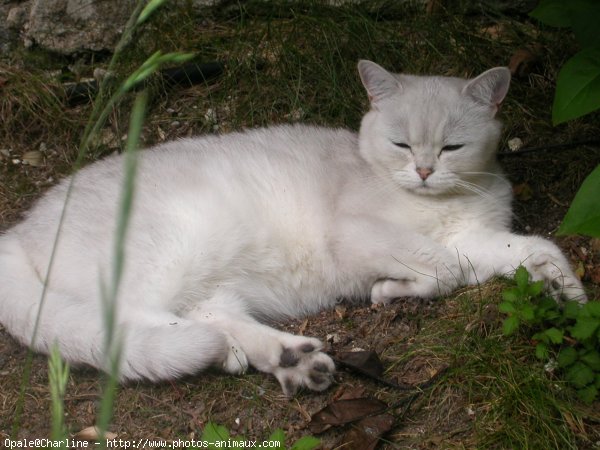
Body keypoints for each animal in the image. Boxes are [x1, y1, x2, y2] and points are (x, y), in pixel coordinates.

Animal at [0, 61, 584, 396]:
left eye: (452, 147)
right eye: (401, 144)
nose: (423, 171)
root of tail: (19, 230)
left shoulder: (472, 237)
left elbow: (529, 249)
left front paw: (564, 291)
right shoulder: (359, 235)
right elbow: (443, 269)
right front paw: (391, 290)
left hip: (209, 282)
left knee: (215, 317)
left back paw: (289, 360)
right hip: (171, 247)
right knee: (137, 320)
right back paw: (234, 354)